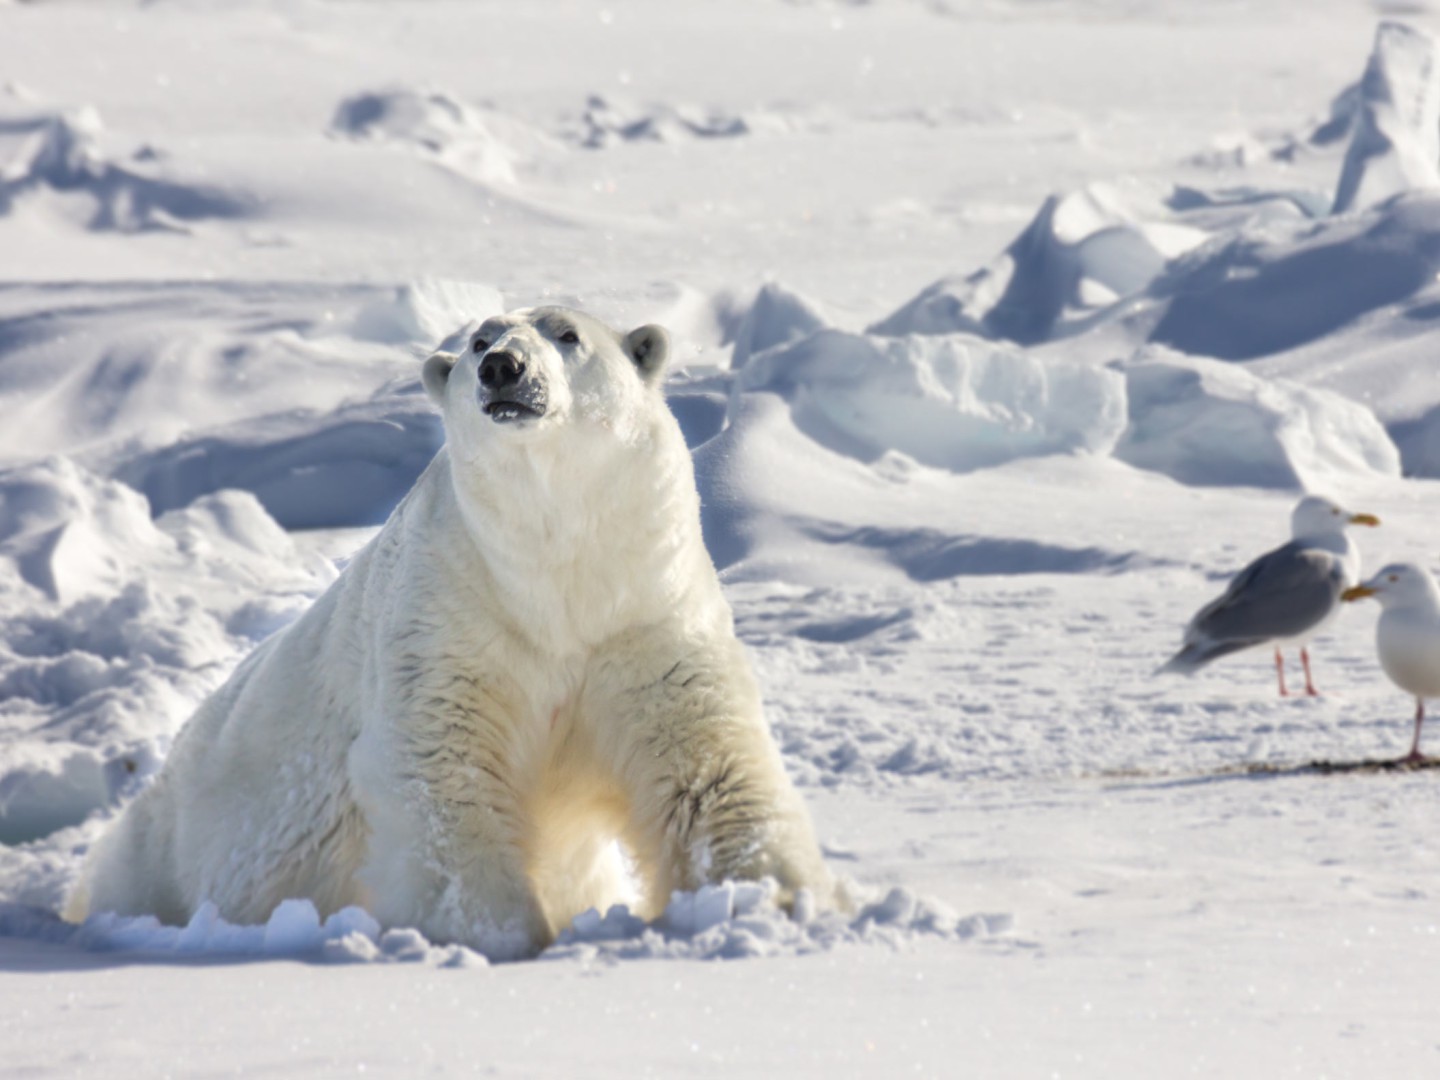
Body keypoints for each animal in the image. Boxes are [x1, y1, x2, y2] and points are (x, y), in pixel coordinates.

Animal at [67, 308, 835, 961]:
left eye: (567, 333)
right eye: (476, 340)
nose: (502, 367)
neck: (551, 577)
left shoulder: (641, 612)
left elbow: (702, 765)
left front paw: (776, 901)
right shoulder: (450, 612)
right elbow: (444, 763)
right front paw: (502, 934)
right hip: (166, 851)